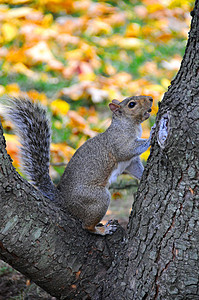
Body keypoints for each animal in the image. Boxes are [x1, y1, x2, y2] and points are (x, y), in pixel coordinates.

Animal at [0, 95, 153, 236]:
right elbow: (127, 150)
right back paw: (102, 230)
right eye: (131, 104)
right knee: (87, 226)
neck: (127, 124)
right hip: (98, 199)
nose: (151, 99)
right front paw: (152, 134)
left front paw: (143, 175)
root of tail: (64, 201)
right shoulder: (119, 144)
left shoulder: (131, 163)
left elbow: (135, 168)